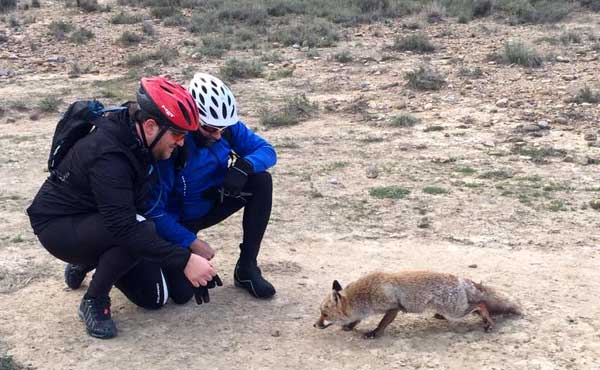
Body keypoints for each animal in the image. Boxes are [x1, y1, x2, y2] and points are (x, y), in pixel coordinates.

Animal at [314, 268, 520, 338]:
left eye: (324, 314)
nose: (315, 325)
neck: (366, 295)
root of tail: (462, 279)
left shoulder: (393, 307)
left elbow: (382, 324)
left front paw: (374, 334)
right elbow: (356, 319)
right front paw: (350, 326)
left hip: (456, 311)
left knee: (481, 305)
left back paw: (488, 322)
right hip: (456, 308)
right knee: (479, 305)